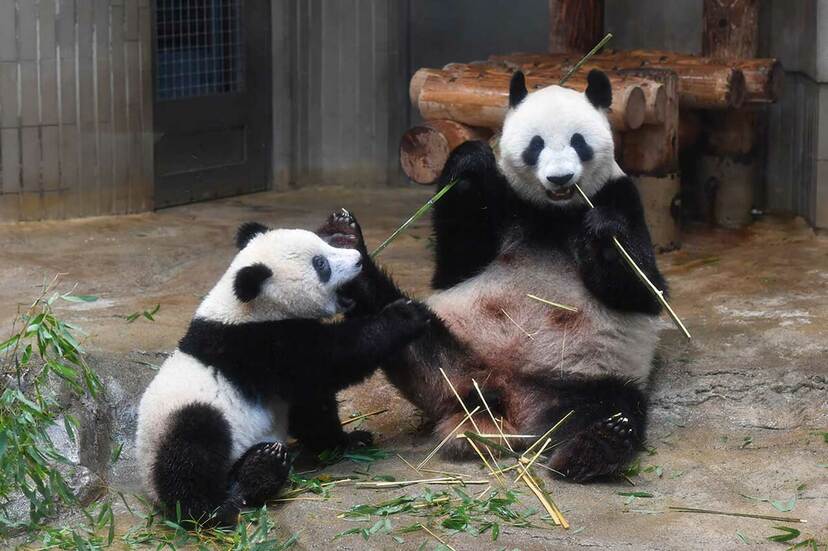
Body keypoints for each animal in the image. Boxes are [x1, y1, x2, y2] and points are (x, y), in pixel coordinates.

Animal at [135, 220, 426, 528]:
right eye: (320, 264)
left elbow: (312, 408)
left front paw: (349, 440)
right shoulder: (256, 347)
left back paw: (262, 467)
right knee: (191, 448)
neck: (246, 308)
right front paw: (406, 315)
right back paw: (212, 509)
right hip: (175, 424)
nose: (357, 260)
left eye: (325, 245)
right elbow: (333, 360)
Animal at [336, 69, 668, 484]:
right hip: (452, 351)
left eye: (578, 142)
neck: (554, 214)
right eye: (535, 145)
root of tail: (500, 400)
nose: (560, 178)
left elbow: (645, 289)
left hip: (579, 379)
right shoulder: (506, 206)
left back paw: (596, 446)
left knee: (613, 405)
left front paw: (604, 230)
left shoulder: (621, 194)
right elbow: (455, 264)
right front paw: (470, 163)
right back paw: (348, 246)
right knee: (396, 320)